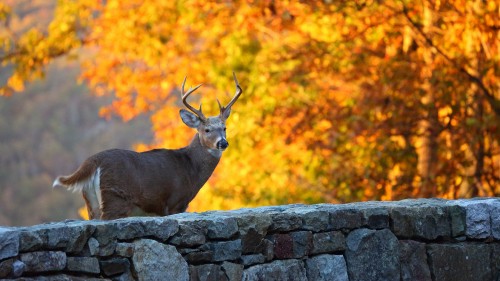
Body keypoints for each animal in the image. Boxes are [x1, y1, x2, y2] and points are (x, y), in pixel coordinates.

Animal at [52, 72, 242, 219]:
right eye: (207, 130)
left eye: (224, 128)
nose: (223, 142)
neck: (190, 169)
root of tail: (93, 161)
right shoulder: (175, 202)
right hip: (114, 198)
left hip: (91, 203)